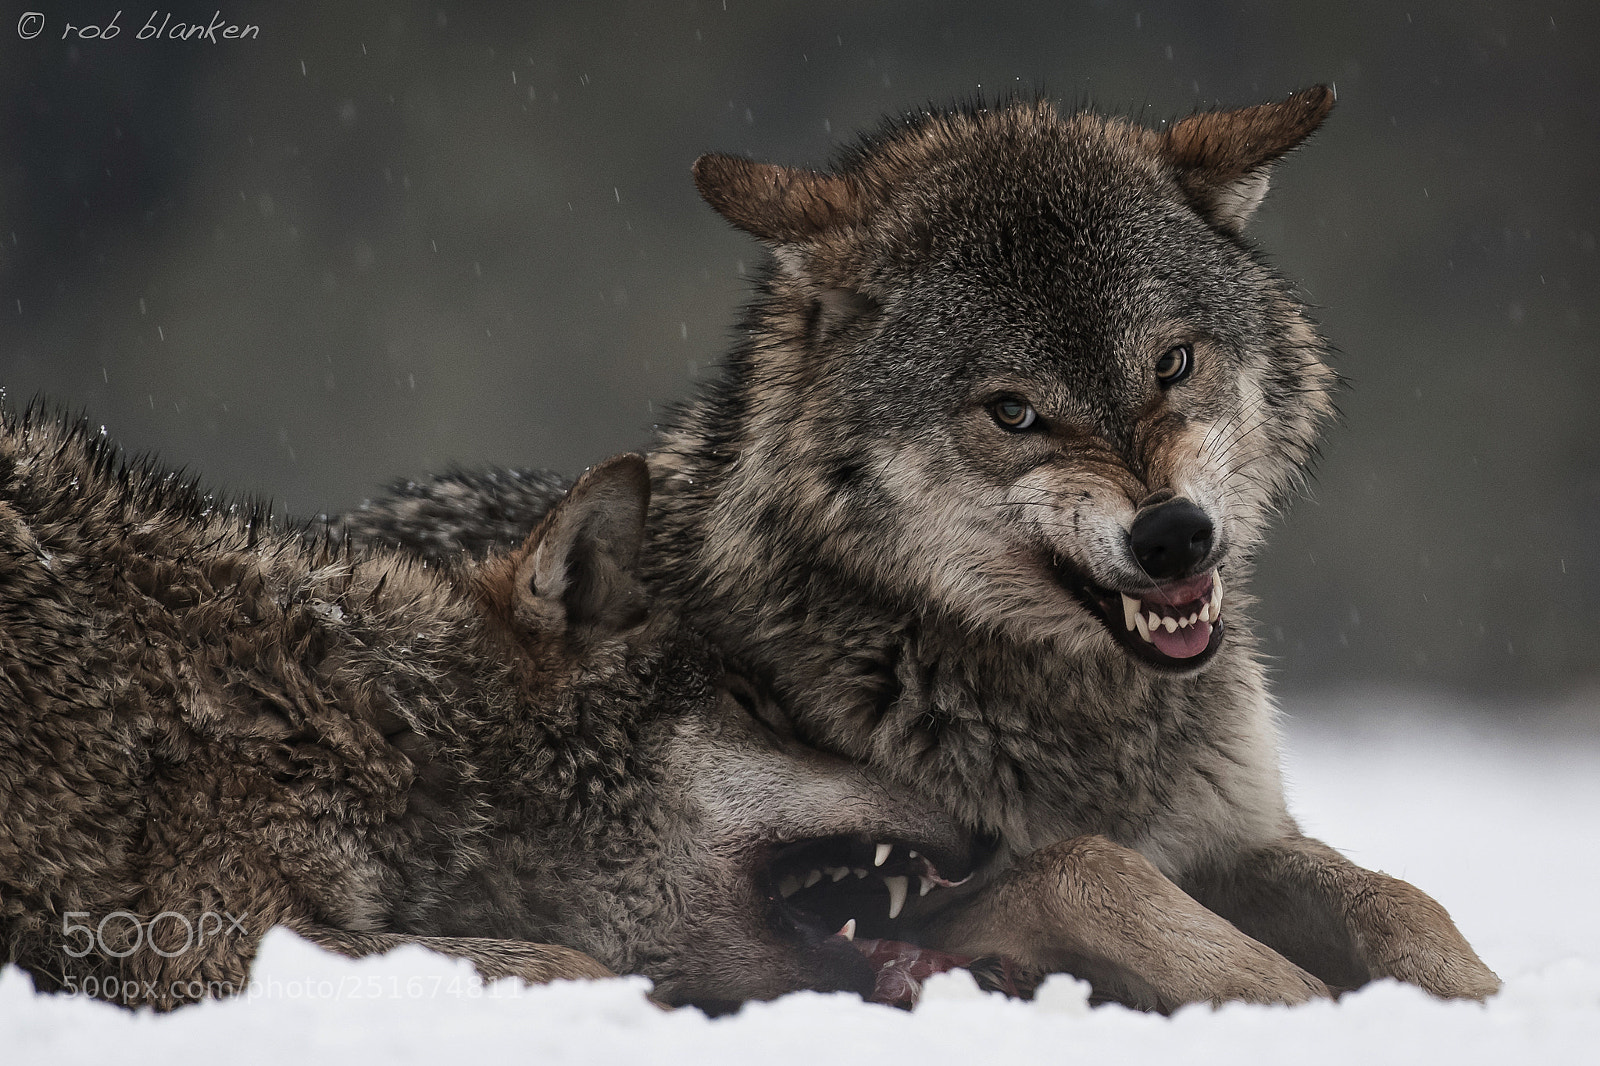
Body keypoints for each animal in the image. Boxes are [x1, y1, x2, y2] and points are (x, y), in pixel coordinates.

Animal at [341, 87, 1500, 1011]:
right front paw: (1296, 1000)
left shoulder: (1237, 837)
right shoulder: (894, 906)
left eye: (1172, 363)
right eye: (1014, 412)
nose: (1174, 534)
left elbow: (1400, 900)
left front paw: (1474, 998)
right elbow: (1094, 868)